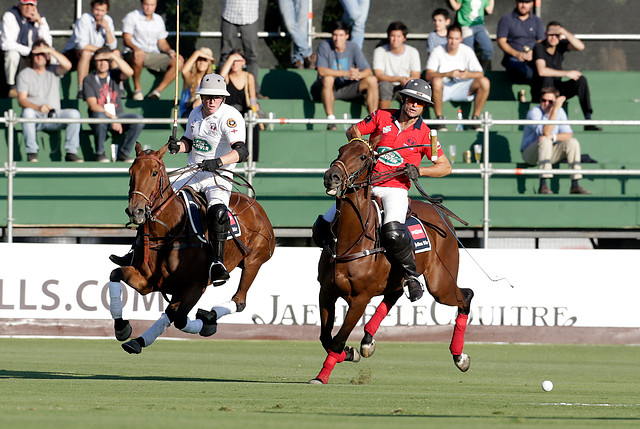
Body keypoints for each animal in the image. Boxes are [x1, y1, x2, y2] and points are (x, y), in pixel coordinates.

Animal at [107, 142, 276, 352]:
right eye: (131, 171)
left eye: (154, 173)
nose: (135, 211)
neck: (166, 233)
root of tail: (256, 206)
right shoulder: (148, 281)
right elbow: (115, 274)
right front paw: (122, 328)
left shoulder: (196, 285)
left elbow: (179, 318)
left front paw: (206, 323)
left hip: (254, 261)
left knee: (239, 301)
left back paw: (210, 316)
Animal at [310, 139, 476, 382]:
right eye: (340, 151)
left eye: (363, 157)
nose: (332, 176)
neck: (352, 239)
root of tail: (439, 213)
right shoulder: (327, 291)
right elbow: (325, 337)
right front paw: (350, 353)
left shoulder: (360, 299)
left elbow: (338, 339)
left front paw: (322, 375)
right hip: (400, 278)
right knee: (395, 294)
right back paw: (367, 340)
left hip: (441, 282)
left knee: (465, 296)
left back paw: (460, 357)